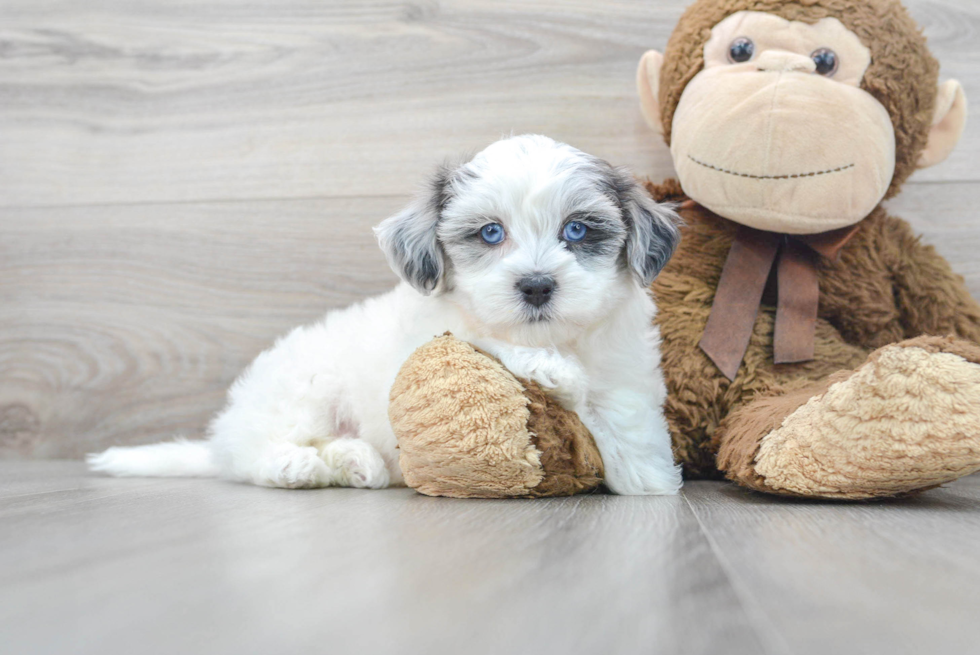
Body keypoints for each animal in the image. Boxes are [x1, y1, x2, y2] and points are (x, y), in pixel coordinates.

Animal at [90, 137, 680, 498]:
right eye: (491, 233)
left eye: (576, 230)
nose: (535, 286)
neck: (562, 338)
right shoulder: (441, 331)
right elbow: (483, 336)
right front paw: (549, 369)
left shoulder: (624, 367)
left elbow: (623, 413)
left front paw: (647, 477)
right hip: (304, 389)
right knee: (254, 452)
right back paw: (293, 466)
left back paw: (357, 462)